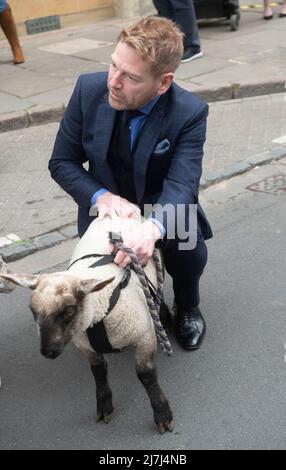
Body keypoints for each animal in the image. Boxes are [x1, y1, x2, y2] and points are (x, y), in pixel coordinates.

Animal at [0, 217, 173, 434]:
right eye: (32, 310)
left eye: (69, 310)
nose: (47, 352)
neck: (98, 314)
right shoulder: (86, 346)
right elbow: (98, 373)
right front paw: (104, 407)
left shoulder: (144, 336)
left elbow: (146, 375)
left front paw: (162, 416)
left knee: (158, 293)